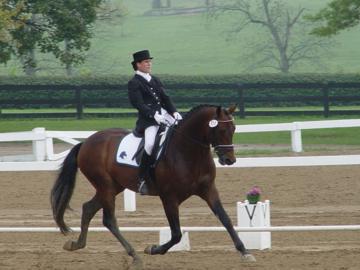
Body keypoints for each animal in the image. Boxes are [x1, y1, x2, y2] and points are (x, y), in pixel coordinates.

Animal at [51, 104, 256, 268]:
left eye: (233, 128)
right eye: (220, 130)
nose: (229, 160)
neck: (188, 151)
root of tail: (86, 142)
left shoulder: (208, 190)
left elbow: (225, 219)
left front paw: (245, 252)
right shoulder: (169, 197)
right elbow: (176, 234)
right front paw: (154, 249)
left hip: (113, 187)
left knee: (88, 208)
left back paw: (76, 244)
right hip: (105, 186)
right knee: (109, 220)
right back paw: (134, 256)